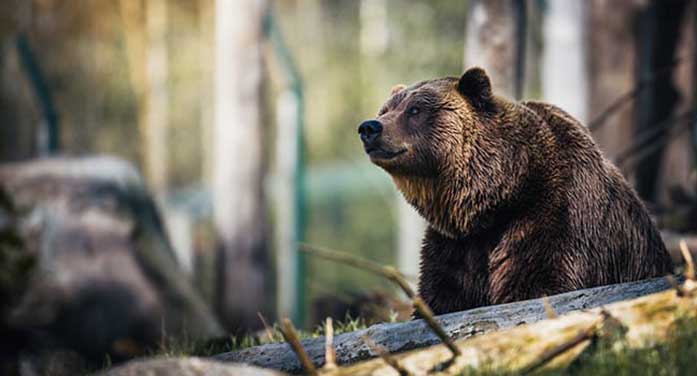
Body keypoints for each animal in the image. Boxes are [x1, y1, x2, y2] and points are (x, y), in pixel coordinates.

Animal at [356, 67, 672, 314]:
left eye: (415, 110)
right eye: (386, 109)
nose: (369, 127)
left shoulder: (555, 217)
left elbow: (539, 283)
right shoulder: (456, 246)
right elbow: (442, 296)